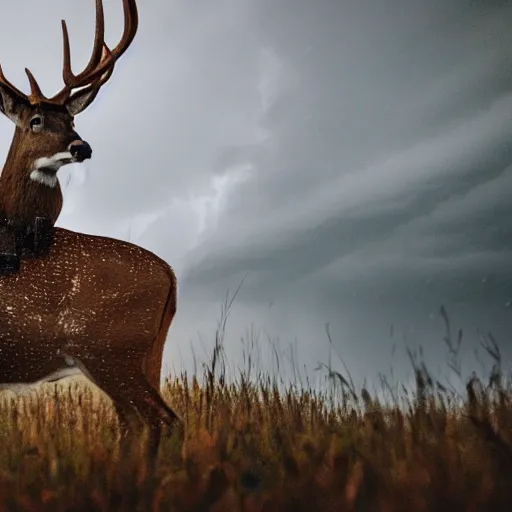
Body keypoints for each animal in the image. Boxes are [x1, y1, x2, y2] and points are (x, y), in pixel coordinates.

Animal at [0, 0, 182, 464]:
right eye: (36, 119)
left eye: (71, 117)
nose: (81, 146)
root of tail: (171, 276)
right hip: (144, 355)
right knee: (135, 422)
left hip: (110, 350)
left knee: (159, 420)